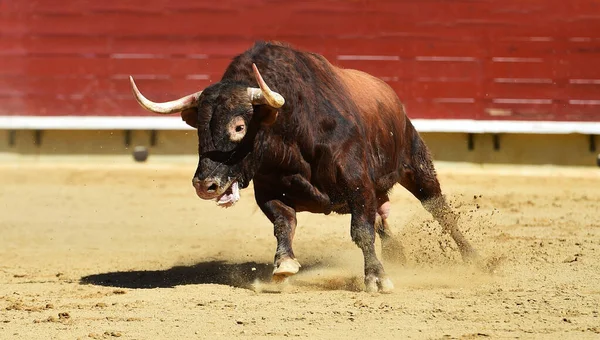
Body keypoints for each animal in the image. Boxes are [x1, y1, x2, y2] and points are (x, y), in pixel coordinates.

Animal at [129, 41, 476, 292]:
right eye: (199, 129)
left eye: (239, 127)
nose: (205, 185)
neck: (291, 132)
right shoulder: (269, 191)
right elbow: (284, 224)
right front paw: (284, 265)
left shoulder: (358, 183)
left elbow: (361, 231)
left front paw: (377, 279)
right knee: (384, 214)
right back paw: (399, 253)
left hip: (416, 164)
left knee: (440, 210)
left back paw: (474, 258)